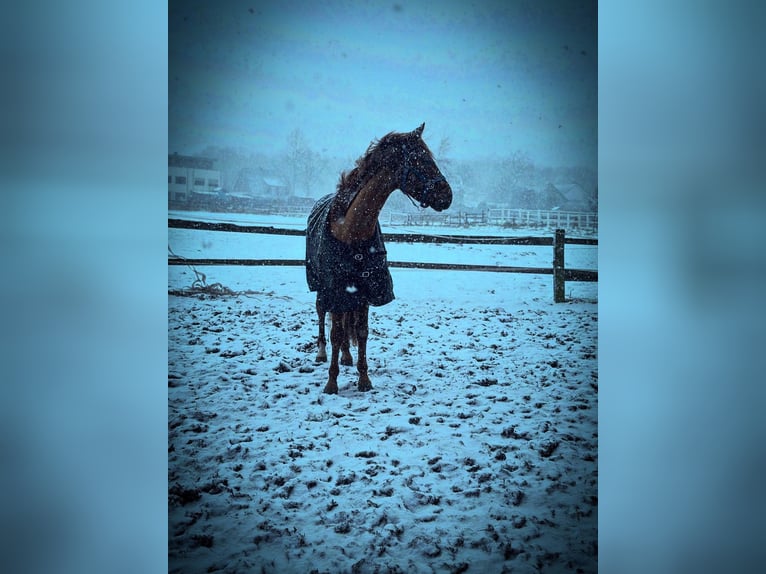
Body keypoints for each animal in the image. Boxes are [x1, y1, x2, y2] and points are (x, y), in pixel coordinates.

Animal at [305, 122, 452, 394]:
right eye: (420, 159)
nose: (447, 195)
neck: (351, 230)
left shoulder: (364, 290)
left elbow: (361, 332)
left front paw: (364, 379)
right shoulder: (335, 288)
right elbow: (336, 332)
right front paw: (331, 383)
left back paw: (346, 356)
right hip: (319, 285)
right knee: (322, 312)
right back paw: (321, 353)